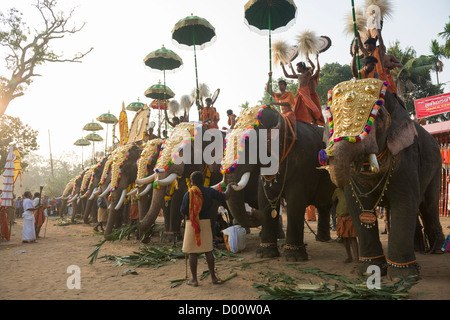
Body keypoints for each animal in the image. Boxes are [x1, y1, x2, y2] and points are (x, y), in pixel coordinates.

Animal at [220, 104, 336, 262]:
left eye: (251, 142)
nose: (253, 212)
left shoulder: (303, 163)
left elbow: (295, 200)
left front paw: (294, 258)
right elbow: (264, 198)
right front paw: (265, 254)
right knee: (324, 206)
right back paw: (322, 239)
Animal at [320, 79, 446, 278]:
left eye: (378, 116)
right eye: (330, 117)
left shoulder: (406, 157)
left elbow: (404, 202)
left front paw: (404, 276)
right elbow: (358, 206)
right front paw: (369, 270)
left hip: (436, 167)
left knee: (429, 205)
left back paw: (436, 250)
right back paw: (419, 249)